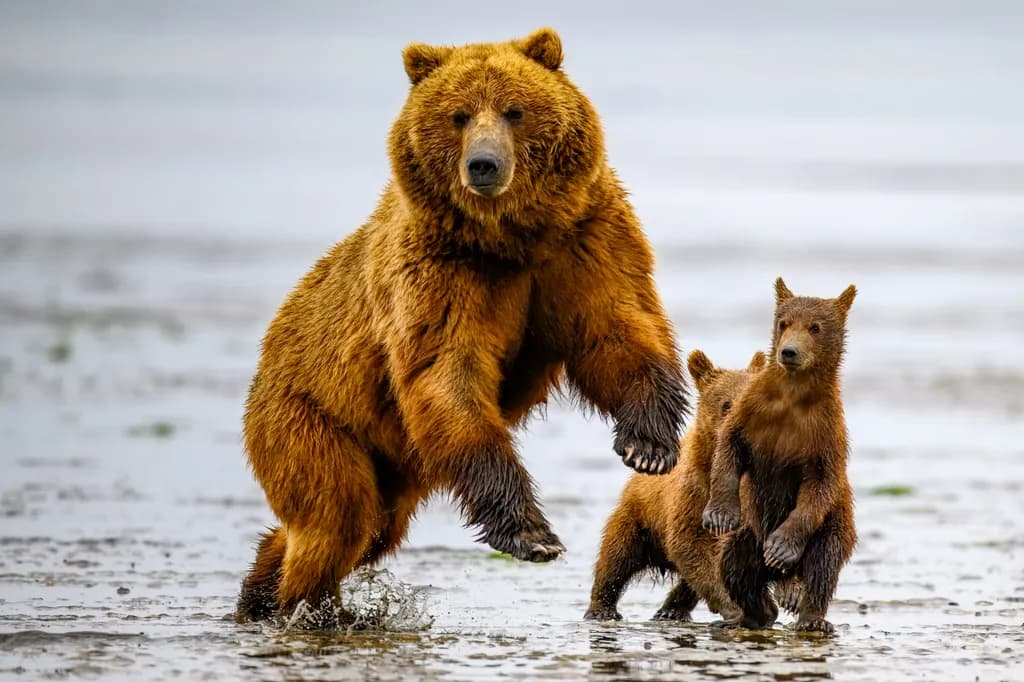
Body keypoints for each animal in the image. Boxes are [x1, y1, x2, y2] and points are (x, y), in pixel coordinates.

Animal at [235, 27, 690, 624]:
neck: (512, 240)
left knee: (368, 526)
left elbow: (616, 330)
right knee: (338, 516)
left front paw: (648, 446)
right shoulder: (441, 272)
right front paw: (532, 534)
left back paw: (260, 592)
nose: (483, 165)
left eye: (515, 111)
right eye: (458, 115)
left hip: (385, 456)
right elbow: (448, 373)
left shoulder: (584, 241)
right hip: (310, 415)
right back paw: (308, 605)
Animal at [584, 349, 767, 623]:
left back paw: (671, 609)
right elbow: (689, 544)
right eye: (726, 404)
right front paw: (733, 606)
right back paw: (601, 608)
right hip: (639, 516)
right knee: (616, 556)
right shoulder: (693, 496)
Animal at [702, 277, 858, 634]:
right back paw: (752, 615)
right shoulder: (753, 411)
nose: (789, 352)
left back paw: (811, 618)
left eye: (815, 327)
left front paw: (781, 547)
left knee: (820, 567)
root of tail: (783, 577)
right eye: (784, 322)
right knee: (735, 567)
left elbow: (819, 484)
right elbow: (730, 446)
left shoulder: (824, 433)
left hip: (831, 529)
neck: (792, 398)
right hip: (749, 536)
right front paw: (719, 514)